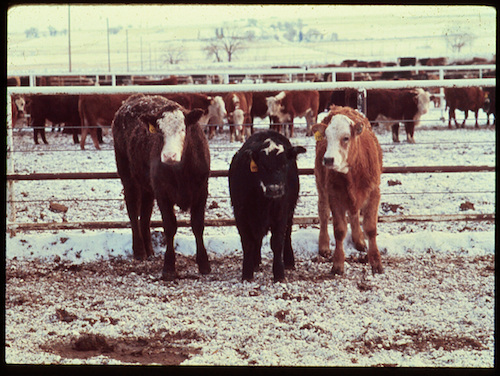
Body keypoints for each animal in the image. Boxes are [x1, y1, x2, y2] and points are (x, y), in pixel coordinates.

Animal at [112, 95, 210, 280]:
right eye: (159, 131)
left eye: (183, 129)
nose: (169, 155)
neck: (180, 172)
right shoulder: (163, 194)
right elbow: (170, 226)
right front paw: (169, 266)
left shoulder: (201, 191)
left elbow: (198, 225)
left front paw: (204, 263)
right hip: (128, 177)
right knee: (133, 210)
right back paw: (139, 251)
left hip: (148, 187)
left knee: (145, 215)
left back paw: (149, 251)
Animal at [229, 131, 306, 280]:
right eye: (263, 166)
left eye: (284, 165)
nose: (274, 189)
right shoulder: (240, 214)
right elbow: (248, 243)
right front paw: (247, 272)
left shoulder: (281, 214)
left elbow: (277, 242)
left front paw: (279, 273)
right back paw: (255, 262)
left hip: (290, 210)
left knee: (287, 233)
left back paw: (289, 260)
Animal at [312, 106, 382, 276]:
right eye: (326, 137)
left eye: (345, 138)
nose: (328, 159)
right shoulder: (334, 195)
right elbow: (339, 230)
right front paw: (338, 263)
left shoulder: (373, 193)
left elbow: (370, 228)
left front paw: (376, 262)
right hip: (321, 186)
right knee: (323, 213)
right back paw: (324, 245)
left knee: (354, 214)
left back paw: (359, 240)